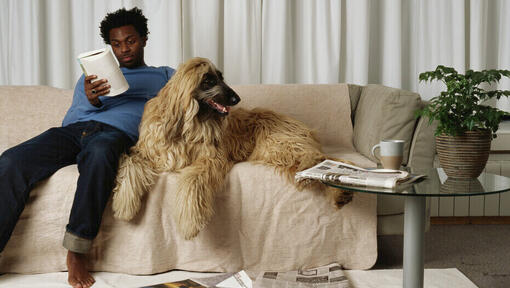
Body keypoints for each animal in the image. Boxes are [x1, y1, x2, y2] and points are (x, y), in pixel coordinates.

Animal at [112, 57, 350, 240]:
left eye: (221, 77)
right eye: (208, 80)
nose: (237, 98)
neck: (187, 126)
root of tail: (299, 125)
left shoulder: (211, 157)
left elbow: (191, 179)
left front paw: (190, 221)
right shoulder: (151, 151)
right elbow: (130, 161)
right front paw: (125, 203)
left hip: (278, 144)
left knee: (323, 158)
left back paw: (336, 187)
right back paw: (339, 192)